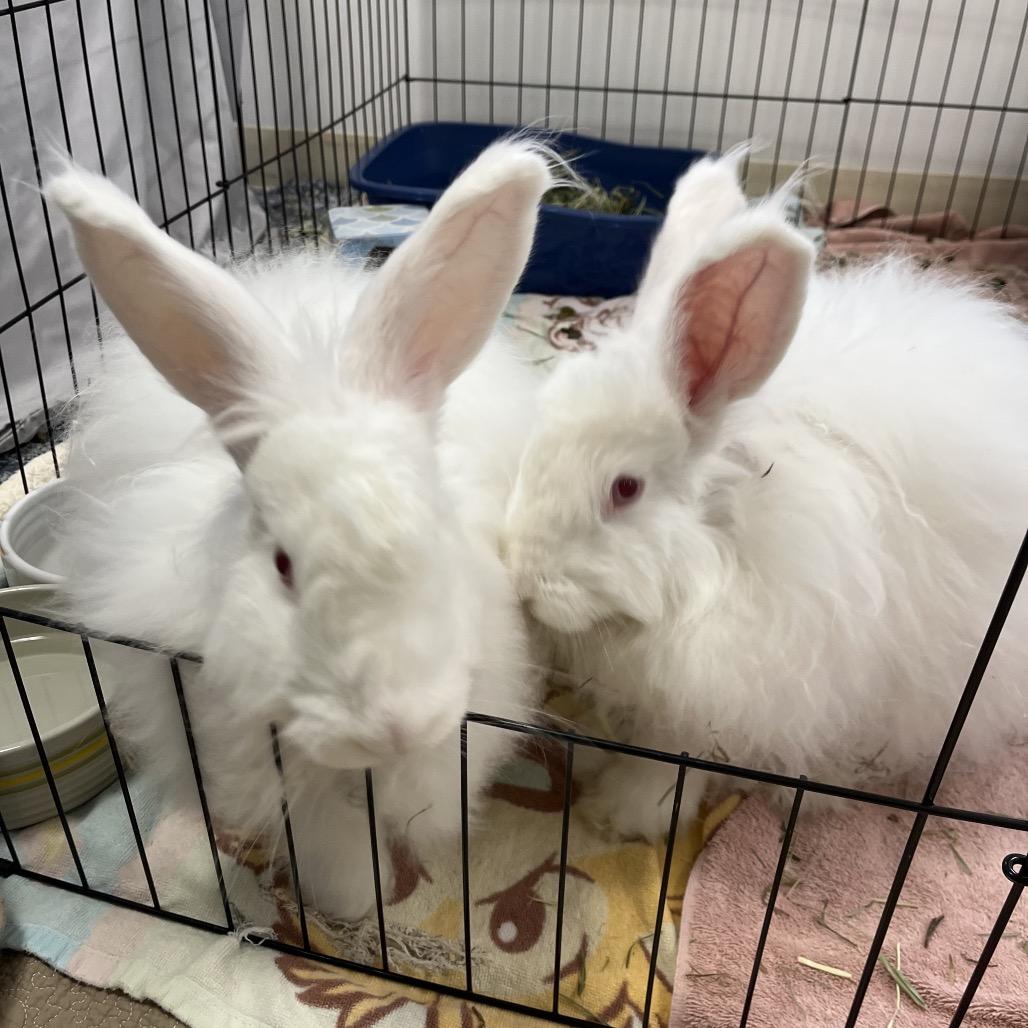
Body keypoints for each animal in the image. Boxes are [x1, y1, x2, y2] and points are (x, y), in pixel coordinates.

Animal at [502, 150, 1028, 840]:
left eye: (625, 488)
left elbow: (675, 757)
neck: (724, 541)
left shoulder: (741, 691)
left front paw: (620, 812)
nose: (522, 576)